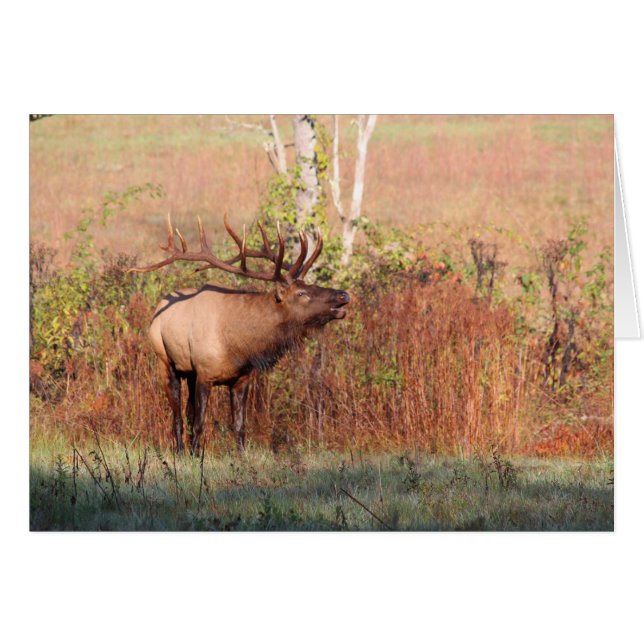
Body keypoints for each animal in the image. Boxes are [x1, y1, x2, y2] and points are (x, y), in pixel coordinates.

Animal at [129, 214, 350, 455]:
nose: (343, 295)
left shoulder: (242, 378)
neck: (239, 346)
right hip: (165, 361)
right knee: (177, 413)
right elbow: (200, 423)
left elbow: (239, 425)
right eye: (302, 293)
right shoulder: (205, 374)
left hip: (189, 371)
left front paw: (240, 456)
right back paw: (179, 451)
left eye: (313, 284)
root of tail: (158, 306)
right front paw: (197, 456)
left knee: (187, 412)